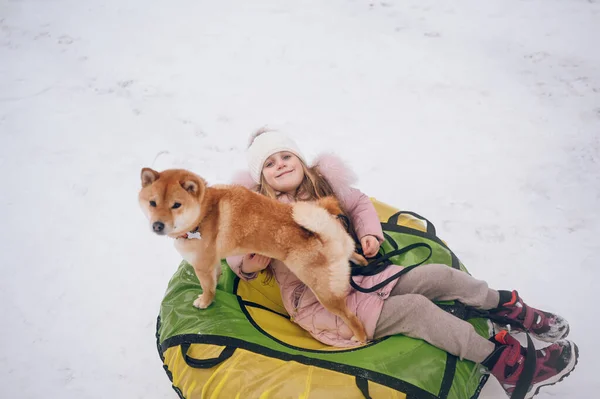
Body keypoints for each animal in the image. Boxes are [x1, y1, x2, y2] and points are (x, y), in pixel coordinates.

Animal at [139, 168, 370, 344]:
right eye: (152, 203)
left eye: (176, 205)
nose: (157, 225)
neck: (204, 215)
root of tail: (326, 233)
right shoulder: (212, 262)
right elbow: (216, 278)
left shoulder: (202, 266)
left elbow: (207, 288)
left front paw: (204, 302)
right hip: (346, 255)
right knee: (357, 257)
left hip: (325, 293)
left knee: (352, 318)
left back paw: (360, 338)